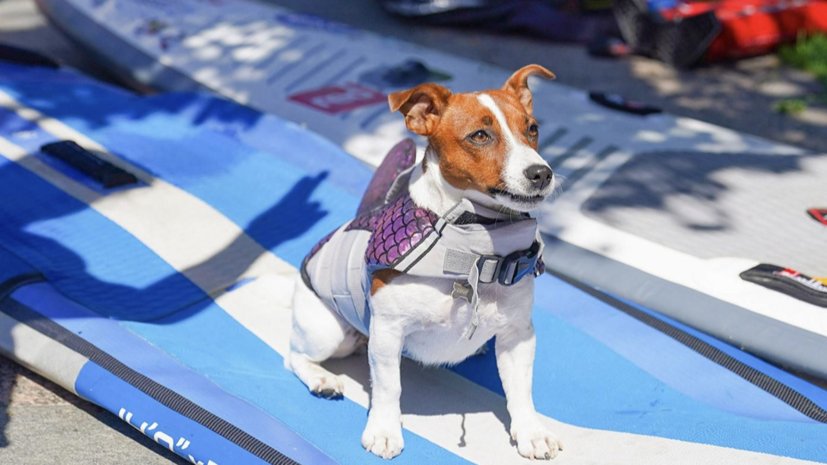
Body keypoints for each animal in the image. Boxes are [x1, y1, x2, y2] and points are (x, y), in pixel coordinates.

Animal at [284, 65, 564, 460]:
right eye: (480, 135)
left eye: (533, 129)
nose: (542, 173)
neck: (474, 248)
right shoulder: (388, 332)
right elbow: (389, 387)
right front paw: (384, 430)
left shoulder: (518, 335)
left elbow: (521, 390)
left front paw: (531, 432)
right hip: (326, 332)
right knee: (293, 355)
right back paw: (320, 378)